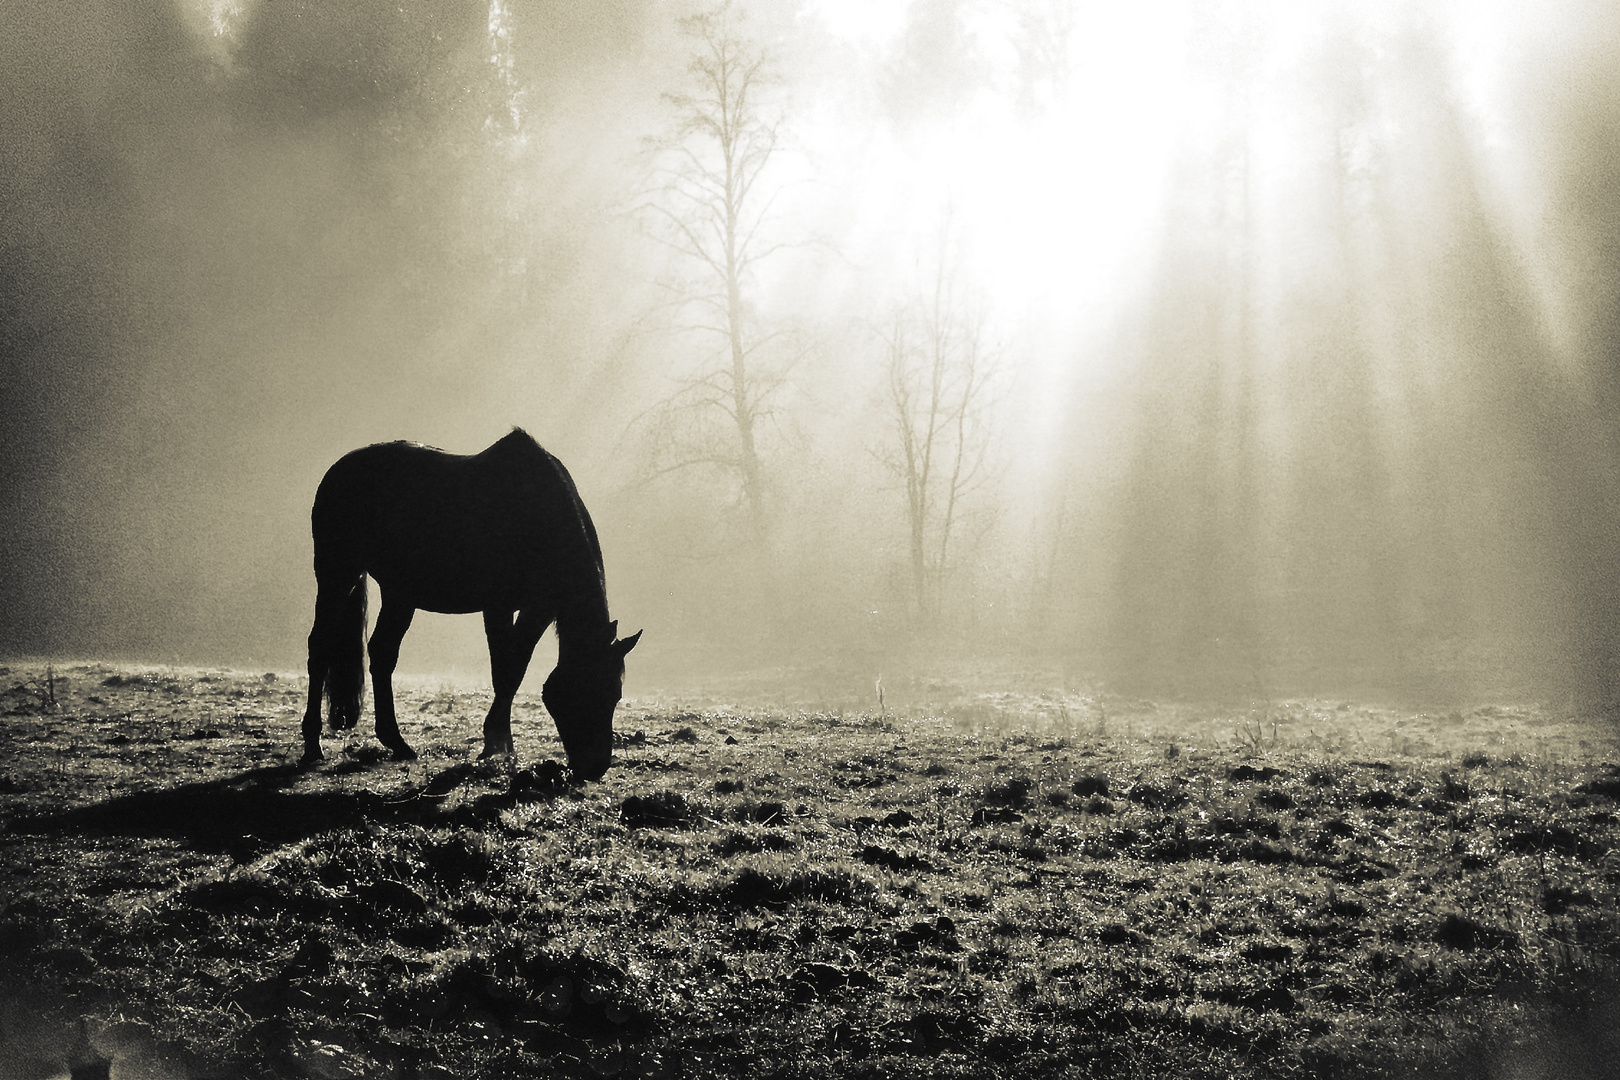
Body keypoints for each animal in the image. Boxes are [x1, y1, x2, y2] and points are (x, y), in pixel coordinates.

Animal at [301, 427, 641, 777]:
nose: (595, 766)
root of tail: (340, 469)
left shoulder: (539, 608)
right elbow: (506, 670)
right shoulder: (499, 606)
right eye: (588, 689)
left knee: (382, 652)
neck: (538, 517)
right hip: (337, 574)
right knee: (320, 647)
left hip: (400, 593)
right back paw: (313, 745)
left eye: (615, 693)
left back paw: (396, 742)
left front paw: (501, 743)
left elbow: (513, 669)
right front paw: (495, 744)